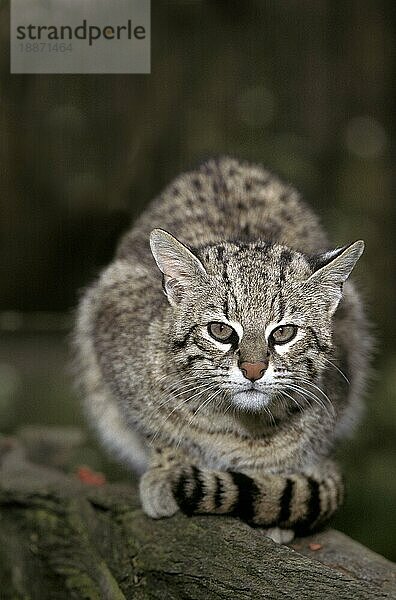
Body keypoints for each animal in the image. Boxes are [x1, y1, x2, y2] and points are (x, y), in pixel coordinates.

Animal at [74, 156, 372, 544]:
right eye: (220, 330)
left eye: (284, 333)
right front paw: (170, 467)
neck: (239, 424)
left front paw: (270, 489)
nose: (253, 370)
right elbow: (157, 429)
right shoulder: (111, 335)